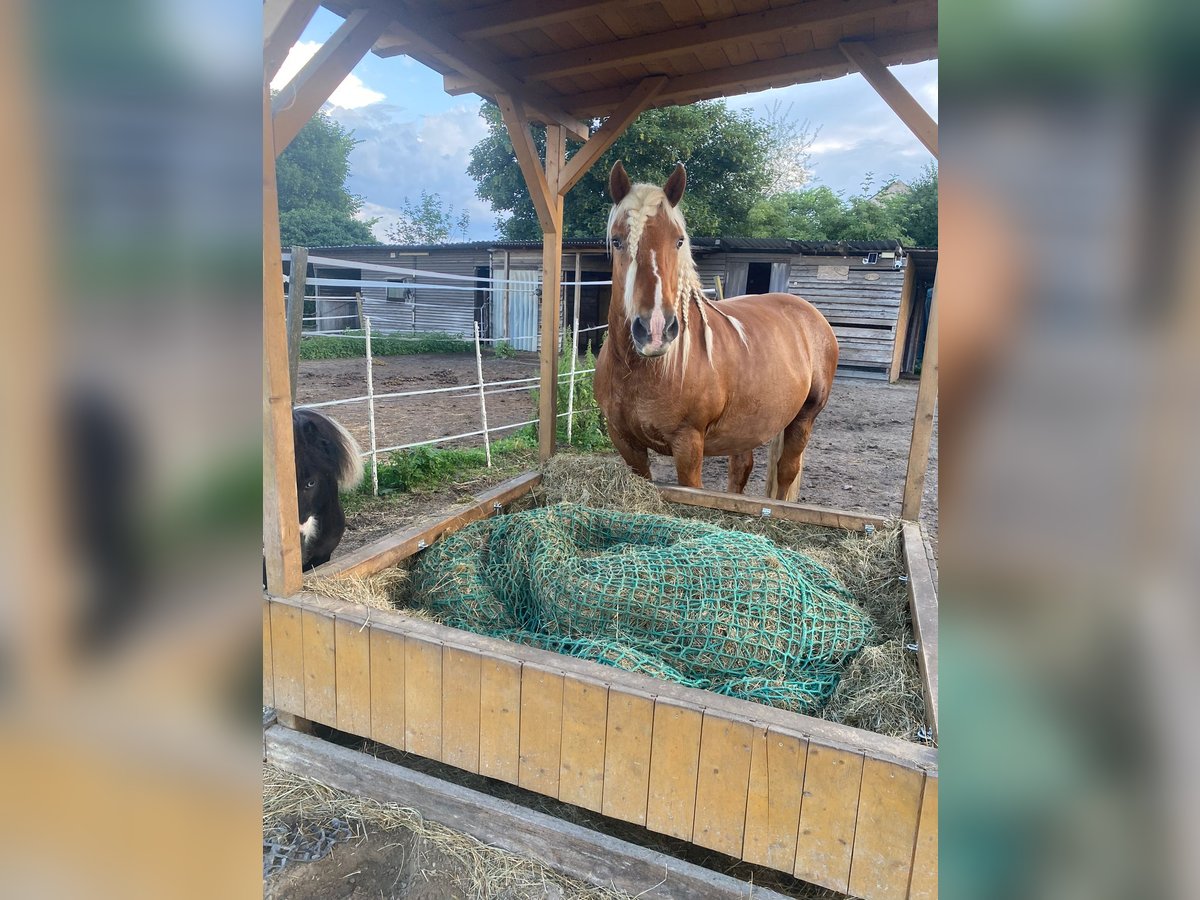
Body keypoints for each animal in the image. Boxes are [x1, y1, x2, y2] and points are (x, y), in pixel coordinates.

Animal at [594, 161, 839, 501]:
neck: (642, 370)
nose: (655, 330)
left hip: (804, 418)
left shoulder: (688, 445)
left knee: (787, 472)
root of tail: (809, 313)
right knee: (741, 469)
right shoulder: (625, 443)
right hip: (749, 426)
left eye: (679, 240)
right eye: (617, 241)